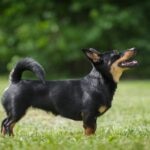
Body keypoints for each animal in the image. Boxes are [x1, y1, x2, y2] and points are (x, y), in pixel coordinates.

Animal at [0, 47, 138, 136]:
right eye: (116, 54)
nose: (134, 48)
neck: (99, 82)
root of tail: (15, 81)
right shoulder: (88, 115)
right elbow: (89, 131)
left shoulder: (92, 118)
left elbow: (93, 130)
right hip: (17, 111)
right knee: (7, 124)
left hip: (15, 112)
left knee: (5, 124)